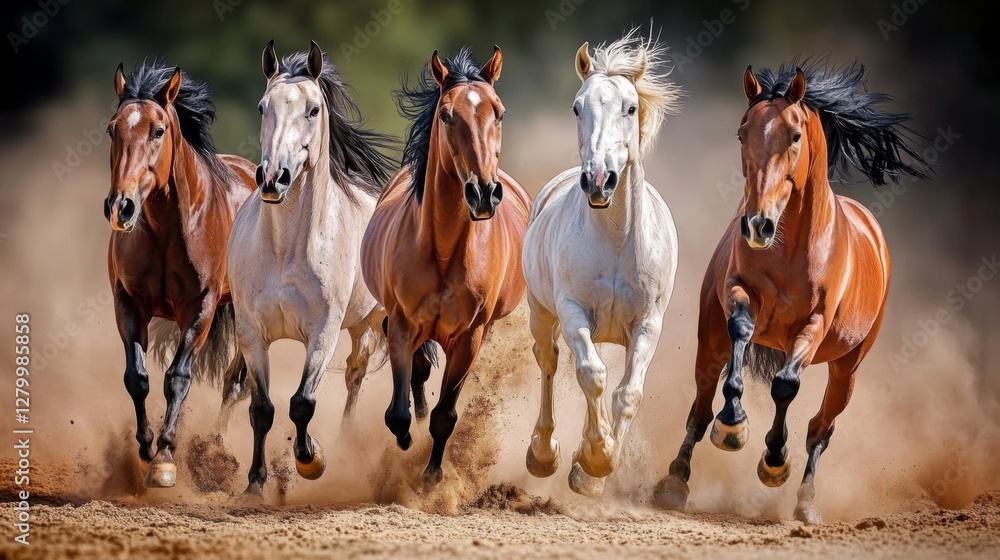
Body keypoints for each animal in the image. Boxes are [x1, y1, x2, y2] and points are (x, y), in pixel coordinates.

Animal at [104, 61, 257, 488]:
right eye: (112, 129)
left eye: (158, 130)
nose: (121, 206)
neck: (166, 230)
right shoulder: (128, 303)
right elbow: (137, 377)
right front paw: (144, 452)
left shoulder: (200, 308)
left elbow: (178, 378)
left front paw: (165, 458)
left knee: (236, 383)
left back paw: (215, 452)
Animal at [226, 41, 397, 497]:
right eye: (262, 106)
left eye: (314, 109)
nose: (273, 178)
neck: (284, 251)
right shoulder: (251, 332)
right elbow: (262, 409)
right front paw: (254, 484)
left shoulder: (323, 330)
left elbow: (302, 402)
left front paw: (311, 460)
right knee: (354, 373)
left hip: (372, 321)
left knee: (358, 375)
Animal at [361, 46, 530, 487]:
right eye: (446, 114)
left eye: (499, 112)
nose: (484, 192)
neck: (444, 251)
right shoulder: (403, 323)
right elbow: (397, 412)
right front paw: (406, 438)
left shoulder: (470, 337)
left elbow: (446, 415)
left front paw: (433, 475)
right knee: (418, 373)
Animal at [521, 33, 681, 497]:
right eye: (577, 107)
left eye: (630, 107)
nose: (597, 180)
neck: (615, 241)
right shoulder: (573, 312)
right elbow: (592, 374)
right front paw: (594, 458)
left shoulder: (647, 323)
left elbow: (628, 394)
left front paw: (594, 471)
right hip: (541, 313)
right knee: (550, 360)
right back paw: (543, 454)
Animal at [653, 59, 930, 523]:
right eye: (742, 132)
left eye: (795, 135)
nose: (757, 225)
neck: (790, 246)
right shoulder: (738, 294)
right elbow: (741, 334)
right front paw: (733, 425)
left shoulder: (814, 325)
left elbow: (786, 386)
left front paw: (773, 462)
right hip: (708, 342)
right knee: (700, 408)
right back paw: (675, 481)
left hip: (848, 368)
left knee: (821, 429)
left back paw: (805, 504)